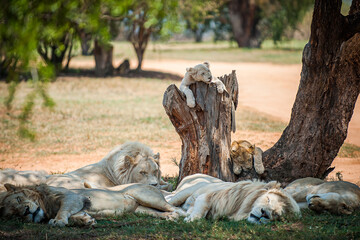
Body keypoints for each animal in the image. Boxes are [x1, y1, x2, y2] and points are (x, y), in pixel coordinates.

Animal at [167, 174, 300, 223]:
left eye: (276, 214)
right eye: (268, 199)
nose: (264, 214)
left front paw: (187, 216)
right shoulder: (208, 196)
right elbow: (202, 209)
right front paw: (191, 219)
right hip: (185, 191)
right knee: (169, 201)